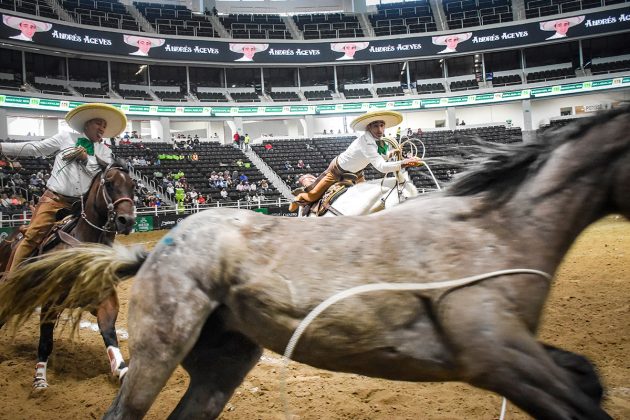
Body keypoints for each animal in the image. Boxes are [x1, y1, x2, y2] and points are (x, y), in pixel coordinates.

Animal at [0, 160, 137, 388]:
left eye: (133, 185)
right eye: (109, 184)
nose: (127, 220)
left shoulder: (103, 300)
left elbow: (108, 331)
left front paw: (122, 370)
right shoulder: (50, 303)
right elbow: (45, 342)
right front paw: (40, 381)